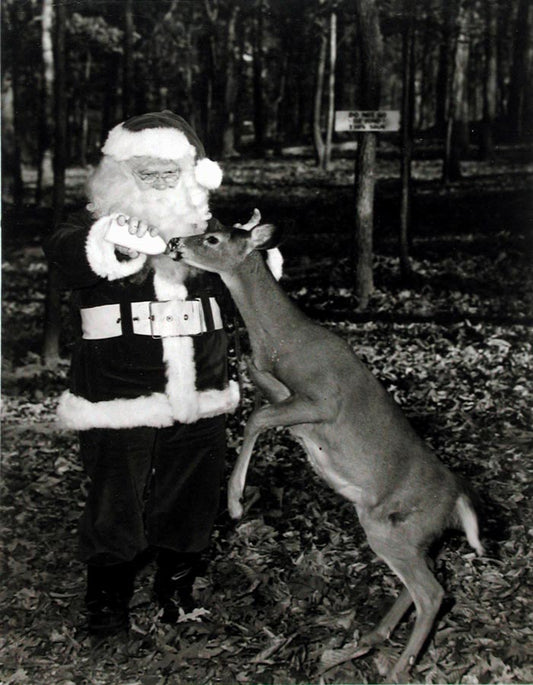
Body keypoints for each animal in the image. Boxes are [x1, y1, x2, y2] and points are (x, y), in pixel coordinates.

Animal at [166, 210, 483, 682]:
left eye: (212, 238)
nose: (173, 243)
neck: (285, 341)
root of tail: (457, 499)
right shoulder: (280, 390)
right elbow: (256, 394)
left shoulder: (323, 401)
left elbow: (257, 418)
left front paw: (236, 502)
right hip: (412, 535)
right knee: (425, 582)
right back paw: (366, 640)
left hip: (394, 528)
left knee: (432, 593)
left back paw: (395, 669)